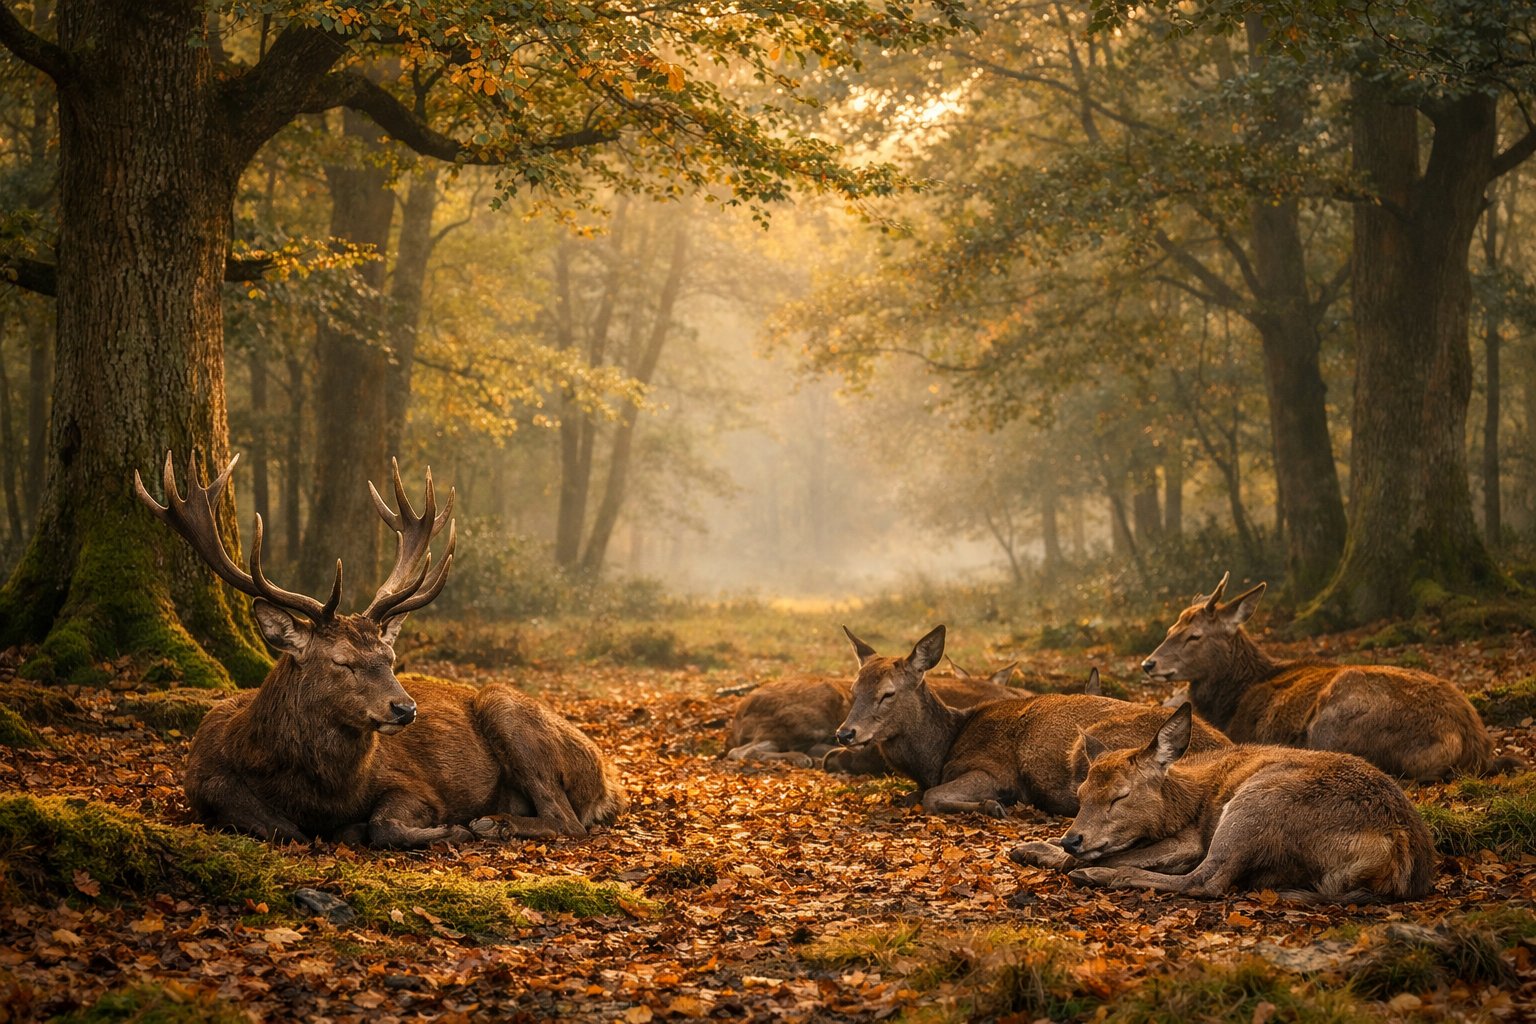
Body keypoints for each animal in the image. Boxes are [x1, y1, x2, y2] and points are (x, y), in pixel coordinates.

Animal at [135, 453, 625, 847]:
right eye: (342, 662)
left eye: (389, 659)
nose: (406, 709)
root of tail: (607, 780)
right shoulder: (206, 783)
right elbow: (279, 827)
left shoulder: (414, 784)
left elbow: (381, 825)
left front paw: (452, 827)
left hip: (506, 706)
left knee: (567, 820)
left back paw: (493, 823)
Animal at [833, 626, 1228, 817]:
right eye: (853, 688)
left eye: (887, 693)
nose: (845, 733)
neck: (939, 753)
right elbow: (913, 796)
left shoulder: (992, 768)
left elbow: (931, 797)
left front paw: (993, 805)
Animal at [1012, 704, 1435, 902]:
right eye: (1081, 794)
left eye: (1121, 795)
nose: (1072, 838)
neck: (1180, 802)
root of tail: (1399, 850)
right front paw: (1028, 847)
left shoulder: (1189, 838)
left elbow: (1123, 854)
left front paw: (1067, 860)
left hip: (1256, 802)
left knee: (1208, 880)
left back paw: (1096, 875)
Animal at [1142, 572, 1521, 781]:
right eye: (1171, 628)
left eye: (1194, 636)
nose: (1149, 663)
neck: (1232, 700)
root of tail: (1473, 743)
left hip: (1334, 721)